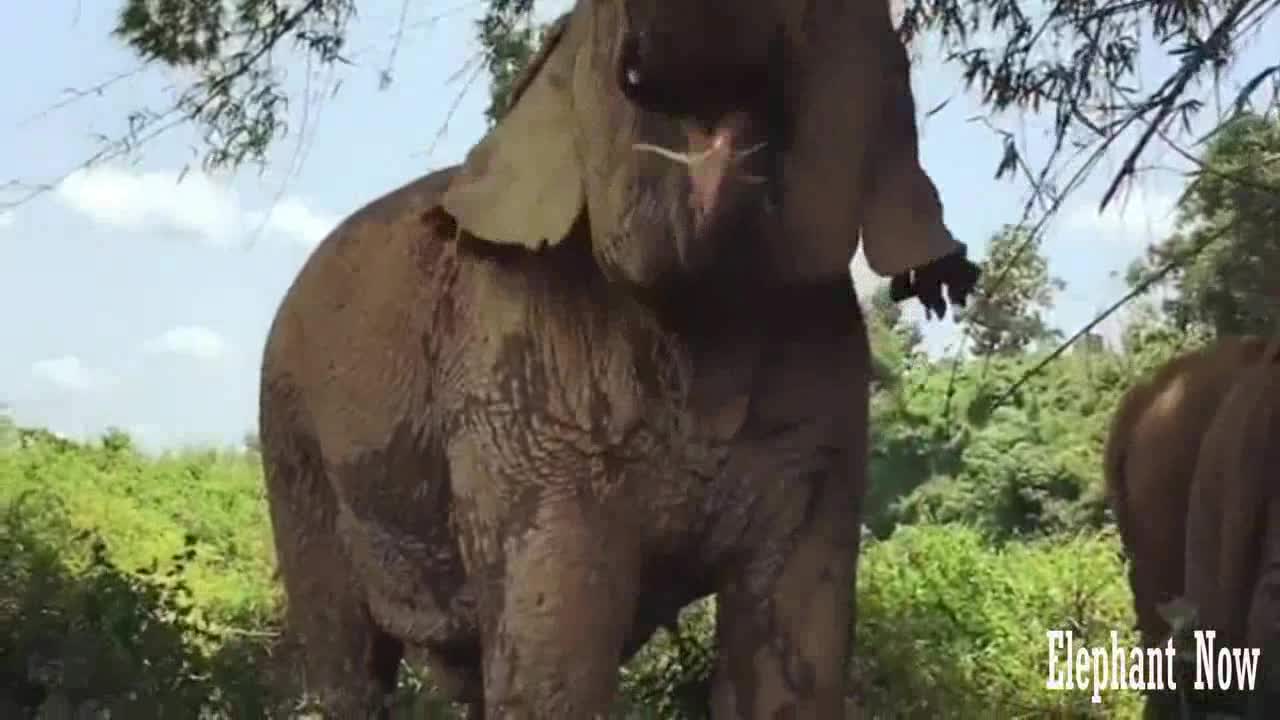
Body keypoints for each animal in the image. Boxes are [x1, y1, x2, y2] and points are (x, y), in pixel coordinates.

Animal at [257, 0, 977, 712]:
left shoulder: (821, 393)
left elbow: (788, 665)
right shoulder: (517, 375)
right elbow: (555, 667)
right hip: (294, 447)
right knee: (349, 666)